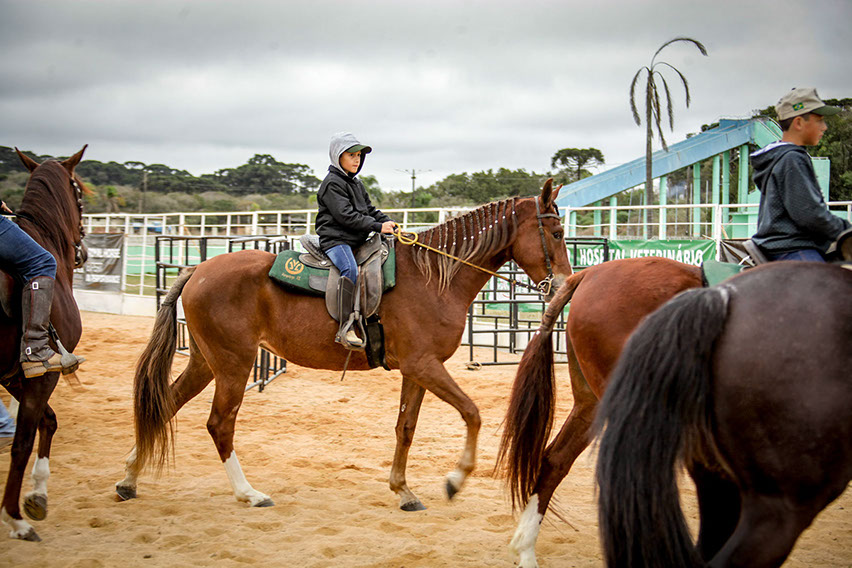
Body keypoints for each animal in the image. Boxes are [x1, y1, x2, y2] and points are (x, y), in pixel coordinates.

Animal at [115, 180, 572, 512]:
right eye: (555, 232)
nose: (564, 286)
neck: (433, 277)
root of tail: (197, 270)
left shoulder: (417, 370)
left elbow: (406, 428)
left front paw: (403, 490)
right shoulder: (425, 366)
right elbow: (472, 413)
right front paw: (454, 481)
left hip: (206, 363)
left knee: (165, 404)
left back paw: (129, 480)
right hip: (233, 365)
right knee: (219, 424)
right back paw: (249, 493)